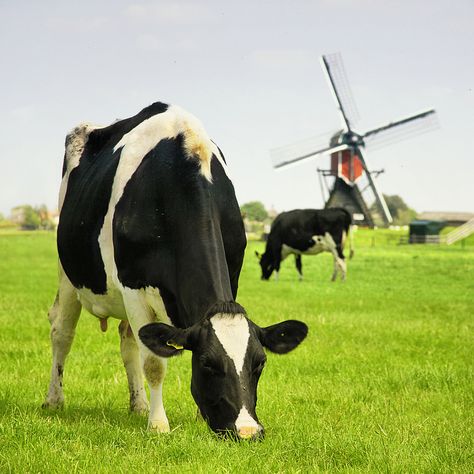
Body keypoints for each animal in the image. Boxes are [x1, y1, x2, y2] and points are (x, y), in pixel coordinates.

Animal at [42, 103, 310, 440]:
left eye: (259, 363)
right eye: (208, 364)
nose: (248, 431)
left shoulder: (233, 273)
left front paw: (195, 415)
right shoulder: (133, 285)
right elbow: (154, 363)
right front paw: (158, 425)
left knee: (128, 341)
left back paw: (139, 405)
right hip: (68, 273)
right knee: (62, 332)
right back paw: (54, 400)